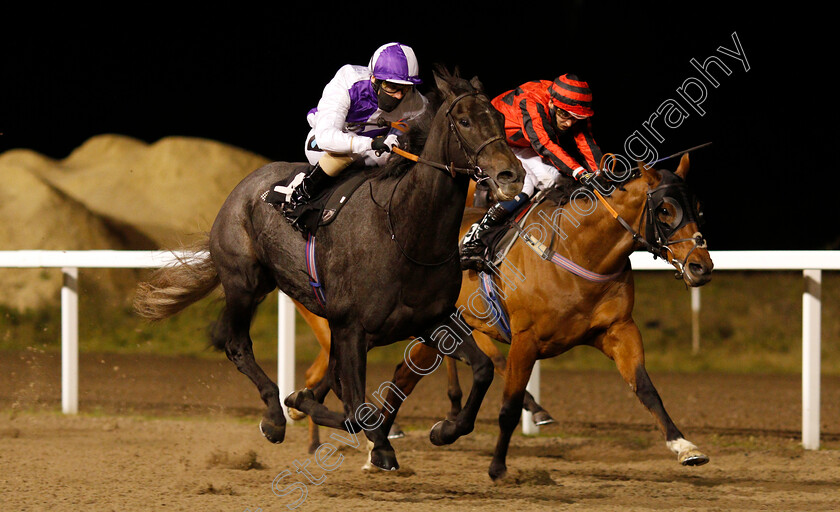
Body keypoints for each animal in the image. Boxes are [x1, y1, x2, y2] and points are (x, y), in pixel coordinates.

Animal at [132, 67, 524, 472]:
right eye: (464, 121)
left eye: (499, 119)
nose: (511, 174)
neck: (405, 232)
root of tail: (242, 188)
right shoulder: (351, 328)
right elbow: (356, 411)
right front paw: (362, 437)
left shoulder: (431, 320)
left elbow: (483, 369)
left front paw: (444, 430)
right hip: (244, 282)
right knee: (237, 344)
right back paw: (274, 417)